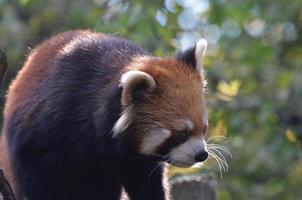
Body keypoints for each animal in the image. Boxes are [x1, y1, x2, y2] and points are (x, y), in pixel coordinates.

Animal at [0, 30, 209, 200]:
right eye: (181, 133)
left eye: (204, 129)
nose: (202, 154)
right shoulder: (48, 127)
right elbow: (38, 179)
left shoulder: (134, 160)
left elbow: (146, 184)